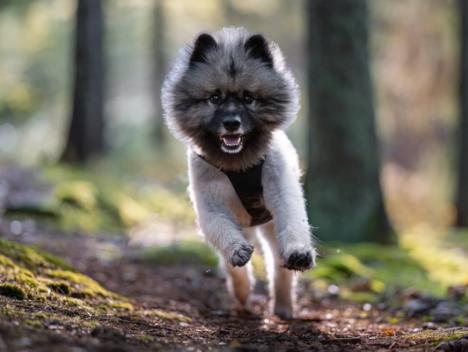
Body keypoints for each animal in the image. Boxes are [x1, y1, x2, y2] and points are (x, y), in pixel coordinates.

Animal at [162, 27, 318, 320]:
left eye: (248, 98)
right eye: (215, 97)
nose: (232, 123)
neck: (239, 163)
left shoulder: (283, 196)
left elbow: (294, 224)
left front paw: (299, 252)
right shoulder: (211, 208)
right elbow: (223, 234)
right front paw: (237, 251)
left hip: (270, 227)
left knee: (278, 266)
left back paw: (283, 306)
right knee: (234, 271)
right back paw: (243, 295)